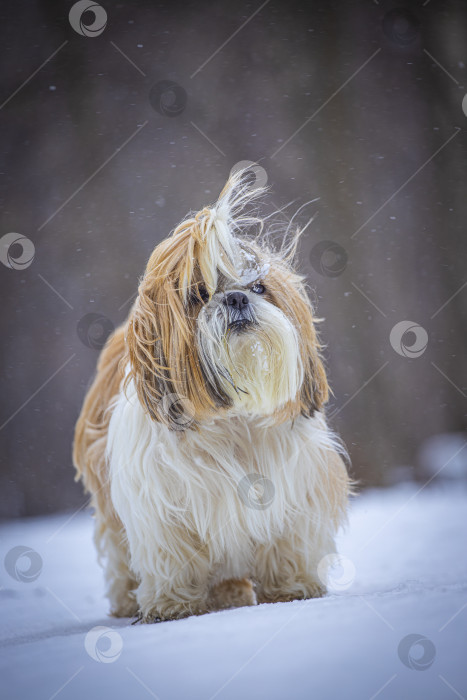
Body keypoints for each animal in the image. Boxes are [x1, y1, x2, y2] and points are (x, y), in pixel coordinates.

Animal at [74, 171, 352, 624]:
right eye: (199, 294)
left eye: (259, 286)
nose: (236, 297)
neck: (232, 419)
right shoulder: (158, 503)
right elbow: (171, 555)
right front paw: (171, 604)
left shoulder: (295, 486)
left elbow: (286, 540)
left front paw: (291, 586)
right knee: (118, 554)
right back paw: (129, 600)